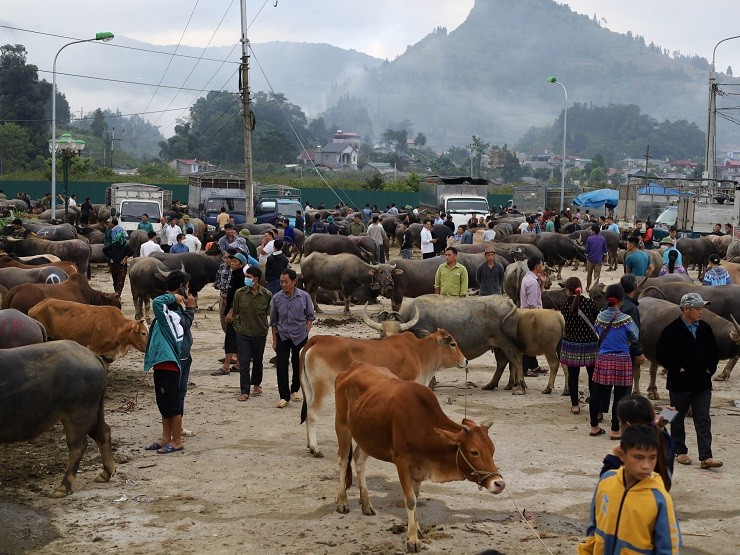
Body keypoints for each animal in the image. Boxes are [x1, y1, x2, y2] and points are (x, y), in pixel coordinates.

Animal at [0, 340, 115, 498]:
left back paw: (63, 487)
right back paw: (105, 474)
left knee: (78, 446)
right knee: (102, 433)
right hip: (92, 412)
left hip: (79, 413)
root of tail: (92, 355)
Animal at [298, 328, 466, 458]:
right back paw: (315, 448)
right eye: (453, 344)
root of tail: (317, 339)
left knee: (306, 413)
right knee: (312, 414)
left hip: (309, 389)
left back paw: (308, 444)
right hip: (323, 389)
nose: (465, 361)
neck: (419, 352)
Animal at [334, 362, 502, 552]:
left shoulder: (420, 468)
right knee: (342, 461)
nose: (499, 483)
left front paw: (417, 529)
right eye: (474, 452)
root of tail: (354, 366)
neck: (422, 426)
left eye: (492, 450)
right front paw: (412, 540)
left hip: (367, 438)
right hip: (342, 426)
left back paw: (366, 504)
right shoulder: (402, 464)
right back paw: (342, 501)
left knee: (359, 460)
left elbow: (416, 496)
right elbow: (410, 501)